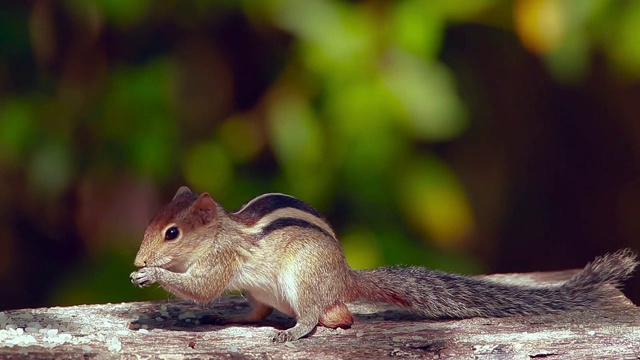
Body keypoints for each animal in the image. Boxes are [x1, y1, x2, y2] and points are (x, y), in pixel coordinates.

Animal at [129, 187, 636, 342]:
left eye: (172, 233)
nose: (138, 258)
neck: (220, 230)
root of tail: (345, 276)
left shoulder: (220, 259)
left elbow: (202, 286)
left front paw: (151, 274)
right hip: (263, 292)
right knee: (256, 311)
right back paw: (228, 316)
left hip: (303, 281)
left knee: (333, 316)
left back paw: (298, 329)